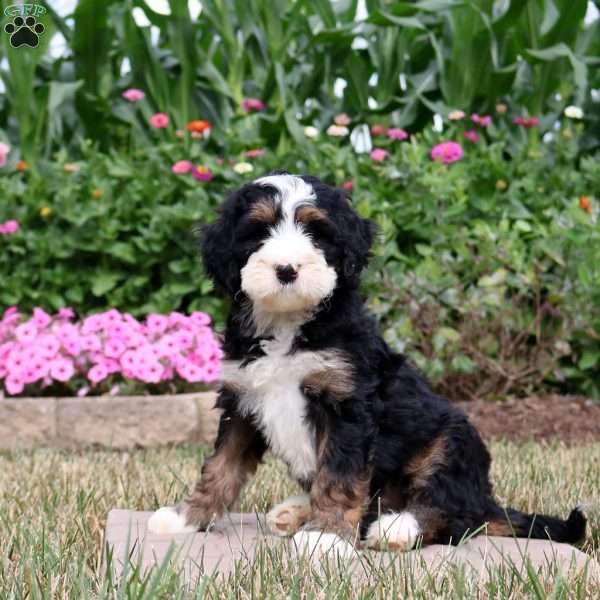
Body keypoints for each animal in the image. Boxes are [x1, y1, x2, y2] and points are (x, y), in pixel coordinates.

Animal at [149, 171, 584, 556]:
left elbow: (339, 477)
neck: (290, 325)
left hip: (451, 439)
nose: (287, 269)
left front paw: (325, 537)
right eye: (258, 232)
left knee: (455, 515)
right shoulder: (242, 400)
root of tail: (487, 499)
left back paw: (397, 527)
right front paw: (186, 517)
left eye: (316, 233)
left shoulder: (347, 404)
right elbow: (220, 468)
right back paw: (296, 512)